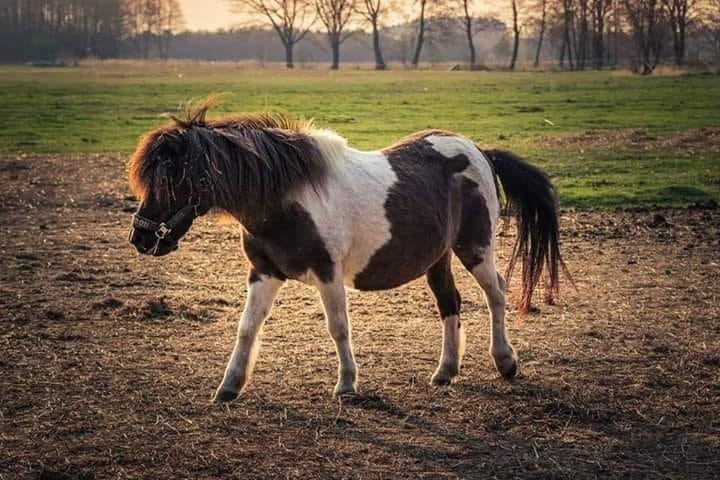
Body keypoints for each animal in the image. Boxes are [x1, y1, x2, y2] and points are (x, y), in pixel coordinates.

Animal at [129, 100, 568, 402]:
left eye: (170, 181)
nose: (141, 239)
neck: (287, 199)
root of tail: (479, 151)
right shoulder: (264, 272)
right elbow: (247, 327)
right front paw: (229, 386)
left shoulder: (328, 273)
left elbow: (338, 327)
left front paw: (346, 385)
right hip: (438, 258)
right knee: (450, 303)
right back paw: (445, 371)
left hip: (475, 248)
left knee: (496, 293)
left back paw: (506, 362)